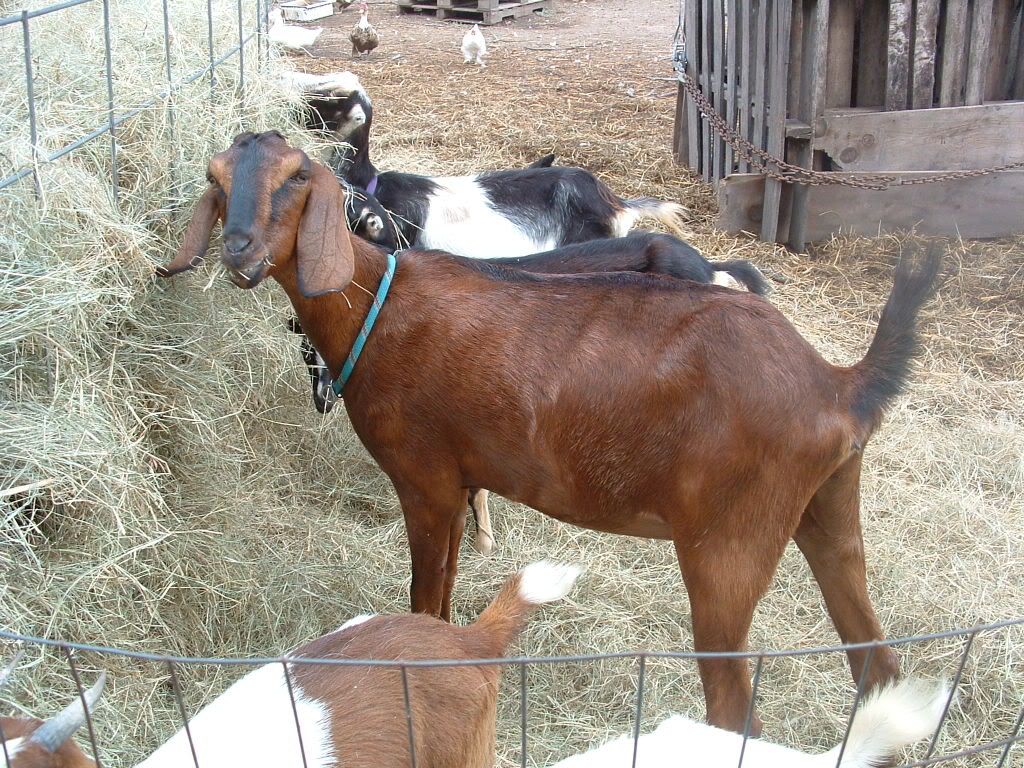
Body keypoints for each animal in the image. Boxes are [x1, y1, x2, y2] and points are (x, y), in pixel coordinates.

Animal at [158, 131, 942, 733]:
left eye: (297, 177)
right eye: (217, 178)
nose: (240, 251)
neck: (378, 302)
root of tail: (837, 383)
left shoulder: (425, 479)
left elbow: (425, 598)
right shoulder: (461, 482)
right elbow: (445, 595)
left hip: (729, 543)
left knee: (737, 710)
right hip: (828, 505)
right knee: (877, 662)